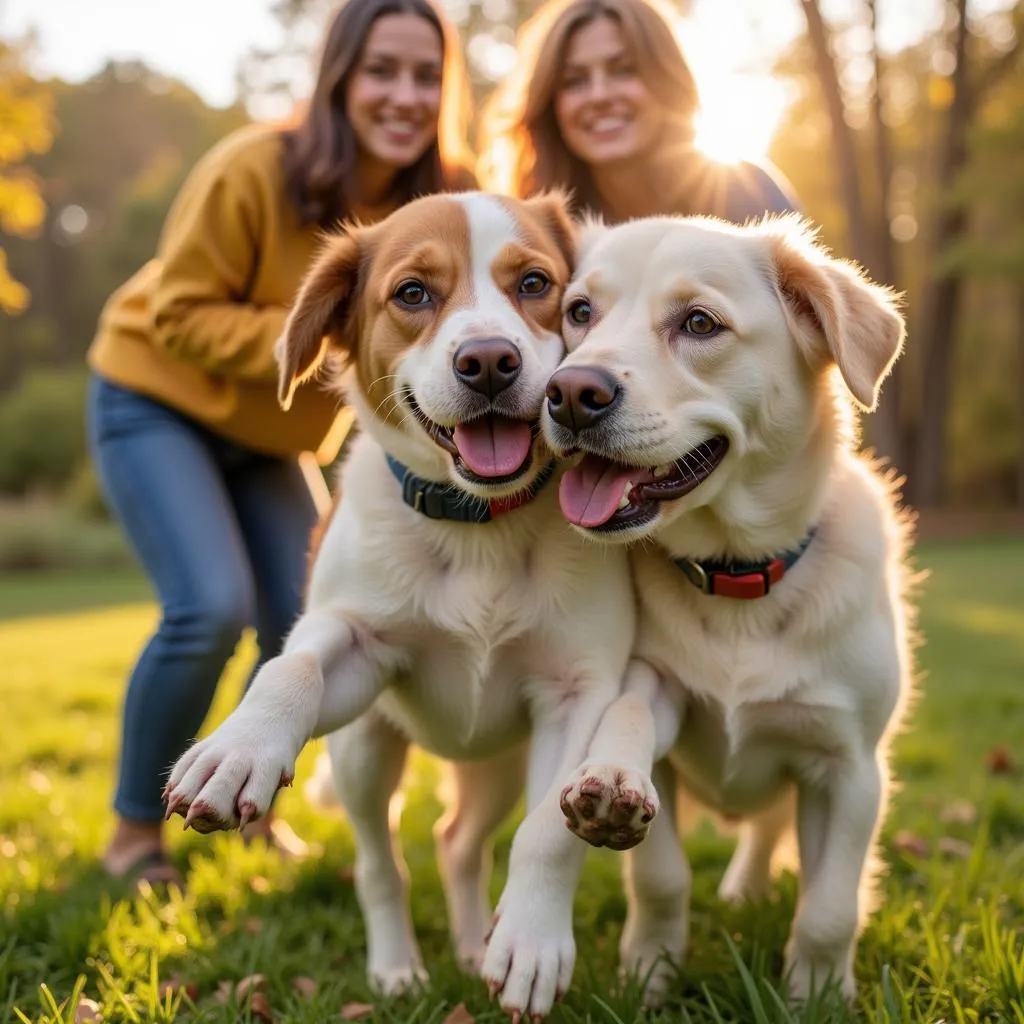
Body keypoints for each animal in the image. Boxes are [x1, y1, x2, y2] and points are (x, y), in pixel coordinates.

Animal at [161, 190, 655, 1015]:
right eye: (413, 293)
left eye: (534, 284)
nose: (488, 361)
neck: (479, 526)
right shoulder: (358, 653)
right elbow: (291, 669)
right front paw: (237, 749)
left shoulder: (576, 693)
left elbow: (547, 834)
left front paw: (531, 941)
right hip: (366, 752)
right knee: (379, 862)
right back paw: (397, 967)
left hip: (495, 764)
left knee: (459, 844)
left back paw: (474, 942)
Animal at [540, 211, 917, 1003]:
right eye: (579, 312)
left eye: (699, 322)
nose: (567, 392)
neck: (737, 574)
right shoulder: (659, 690)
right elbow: (660, 873)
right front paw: (649, 971)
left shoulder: (849, 767)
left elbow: (830, 909)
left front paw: (817, 996)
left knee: (768, 833)